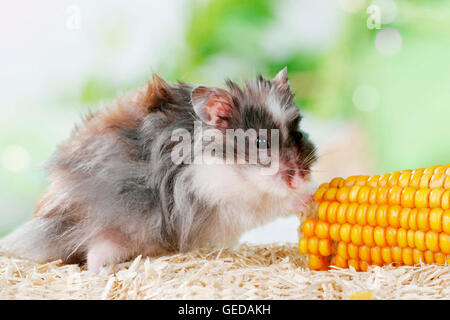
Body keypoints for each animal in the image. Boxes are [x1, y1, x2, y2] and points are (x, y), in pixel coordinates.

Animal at [0, 68, 316, 272]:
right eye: (262, 142)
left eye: (299, 134)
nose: (300, 178)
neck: (235, 168)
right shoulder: (224, 199)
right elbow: (269, 205)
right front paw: (308, 197)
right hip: (111, 229)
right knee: (93, 253)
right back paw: (106, 272)